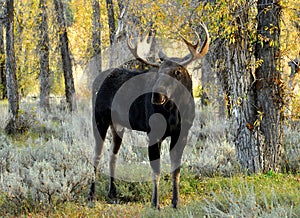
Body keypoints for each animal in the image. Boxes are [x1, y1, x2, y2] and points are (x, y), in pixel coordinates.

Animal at [89, 23, 210, 209]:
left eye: (177, 72)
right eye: (159, 70)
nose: (157, 95)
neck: (175, 111)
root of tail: (96, 80)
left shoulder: (182, 133)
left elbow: (176, 170)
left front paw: (176, 202)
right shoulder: (153, 133)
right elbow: (156, 170)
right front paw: (155, 203)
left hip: (118, 126)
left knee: (112, 156)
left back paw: (113, 194)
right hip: (99, 119)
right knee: (96, 156)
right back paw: (92, 197)